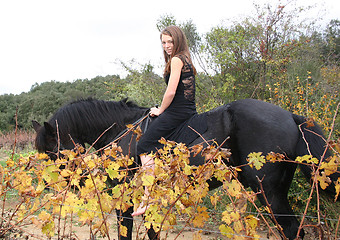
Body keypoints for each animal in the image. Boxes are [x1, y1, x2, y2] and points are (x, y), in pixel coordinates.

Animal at [32, 98, 338, 240]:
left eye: (53, 152)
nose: (65, 185)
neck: (123, 131)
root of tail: (290, 116)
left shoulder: (127, 199)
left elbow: (125, 231)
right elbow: (152, 230)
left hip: (269, 194)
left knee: (291, 230)